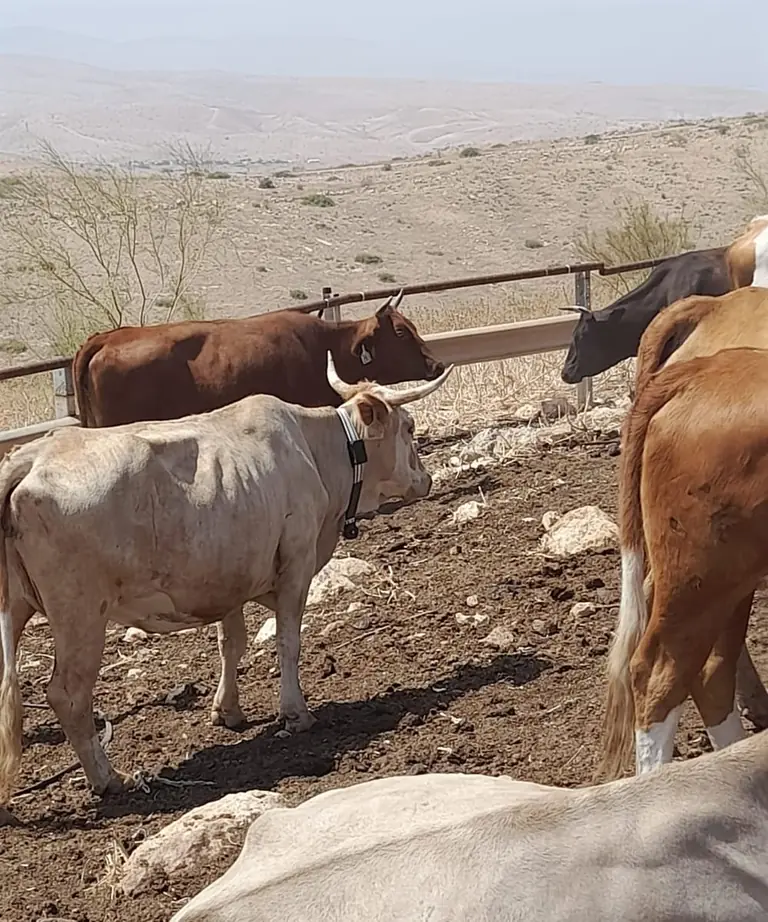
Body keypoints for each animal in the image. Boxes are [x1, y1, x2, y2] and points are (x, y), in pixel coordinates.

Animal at [0, 354, 454, 812]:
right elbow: (288, 642)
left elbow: (230, 643)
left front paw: (227, 710)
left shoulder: (229, 575)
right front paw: (295, 712)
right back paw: (109, 779)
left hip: (16, 608)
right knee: (68, 694)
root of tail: (33, 456)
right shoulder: (297, 563)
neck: (316, 452)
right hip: (80, 615)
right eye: (410, 427)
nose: (426, 479)